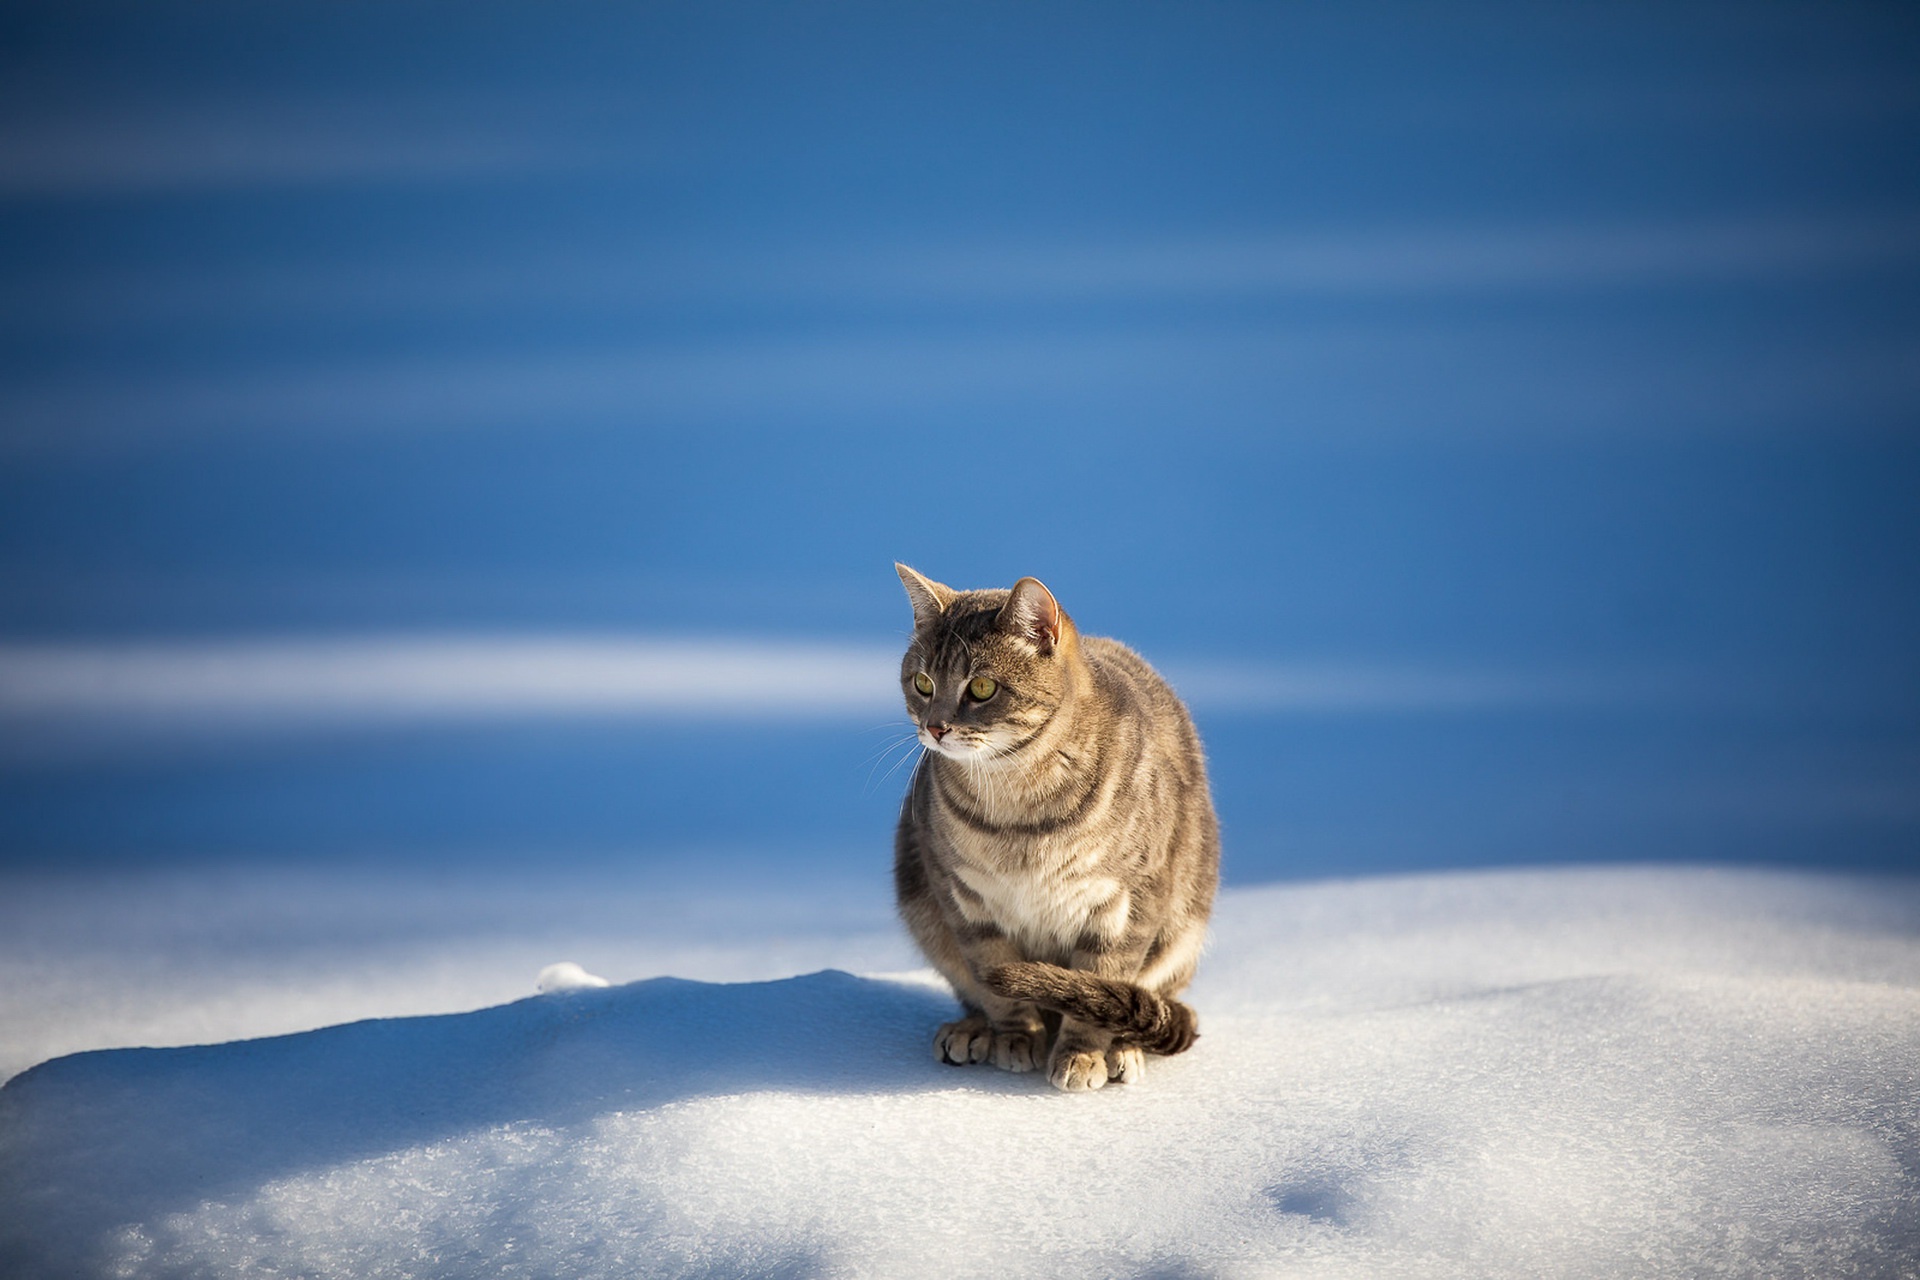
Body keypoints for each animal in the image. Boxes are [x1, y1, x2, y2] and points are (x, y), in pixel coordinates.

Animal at [890, 564, 1221, 1097]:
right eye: (922, 682)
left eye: (981, 688)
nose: (935, 728)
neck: (1018, 810)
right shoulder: (962, 898)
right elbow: (996, 982)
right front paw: (1015, 1037)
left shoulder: (1125, 905)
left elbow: (1100, 981)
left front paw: (1082, 1054)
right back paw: (972, 1030)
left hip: (1181, 934)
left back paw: (1122, 1049)